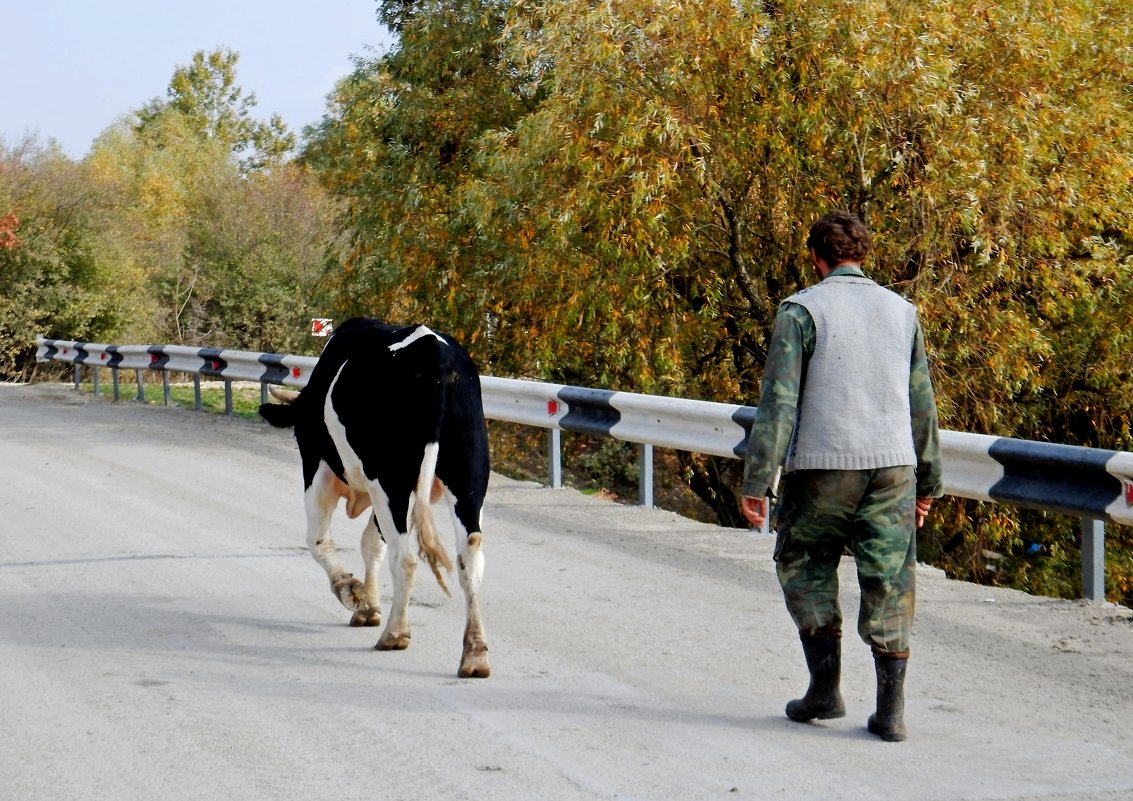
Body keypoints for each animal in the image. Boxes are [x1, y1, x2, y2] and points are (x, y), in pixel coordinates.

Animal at [262, 317, 493, 679]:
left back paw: (395, 634)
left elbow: (318, 541)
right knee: (469, 557)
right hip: (469, 477)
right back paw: (474, 655)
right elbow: (372, 542)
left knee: (407, 558)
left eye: (299, 433)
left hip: (391, 481)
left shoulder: (320, 469)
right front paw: (368, 605)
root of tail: (432, 350)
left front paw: (351, 591)